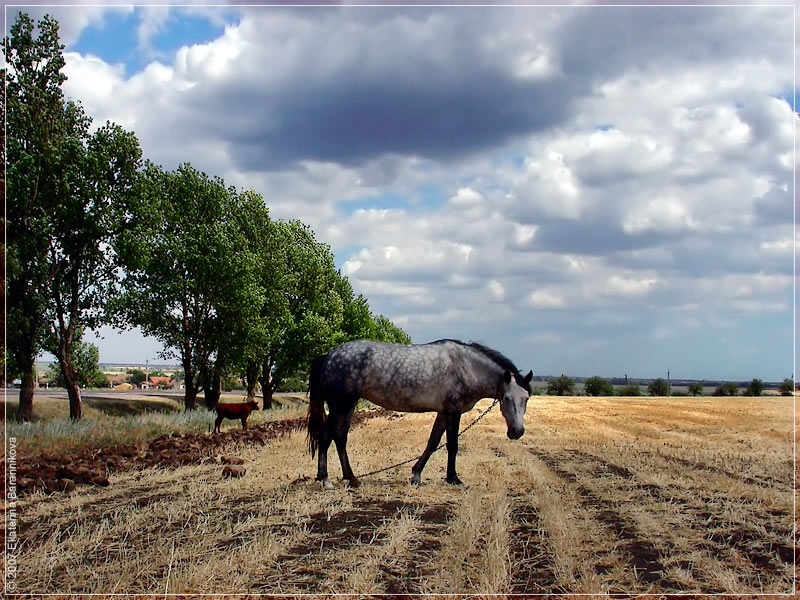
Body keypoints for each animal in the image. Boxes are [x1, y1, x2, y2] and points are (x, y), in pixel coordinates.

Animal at [307, 339, 533, 489]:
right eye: (506, 398)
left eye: (526, 398)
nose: (517, 431)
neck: (467, 367)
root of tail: (328, 355)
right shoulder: (453, 412)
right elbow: (452, 445)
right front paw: (454, 479)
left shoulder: (443, 412)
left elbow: (433, 442)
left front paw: (416, 475)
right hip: (340, 405)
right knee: (326, 437)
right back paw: (326, 480)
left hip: (348, 406)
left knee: (340, 437)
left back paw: (352, 479)